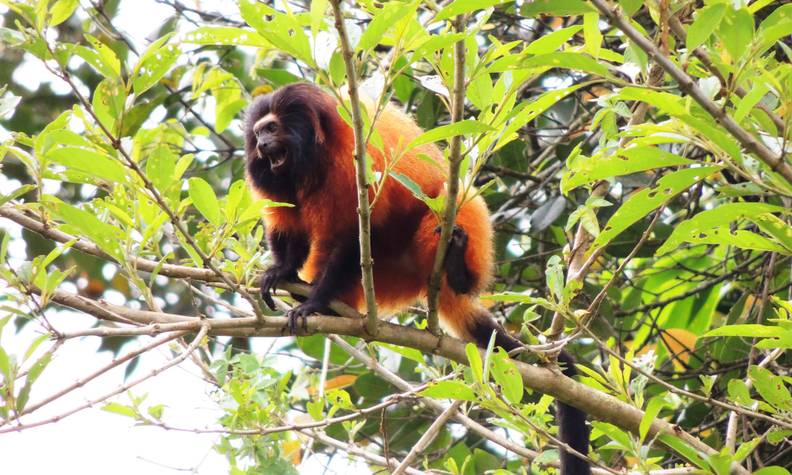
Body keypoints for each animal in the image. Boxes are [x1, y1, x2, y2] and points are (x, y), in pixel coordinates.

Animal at [244, 82, 592, 475]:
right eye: (258, 132)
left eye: (272, 128)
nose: (261, 144)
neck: (311, 160)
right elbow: (290, 226)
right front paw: (283, 273)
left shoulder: (356, 159)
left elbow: (360, 233)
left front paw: (316, 303)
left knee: (451, 197)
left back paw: (457, 269)